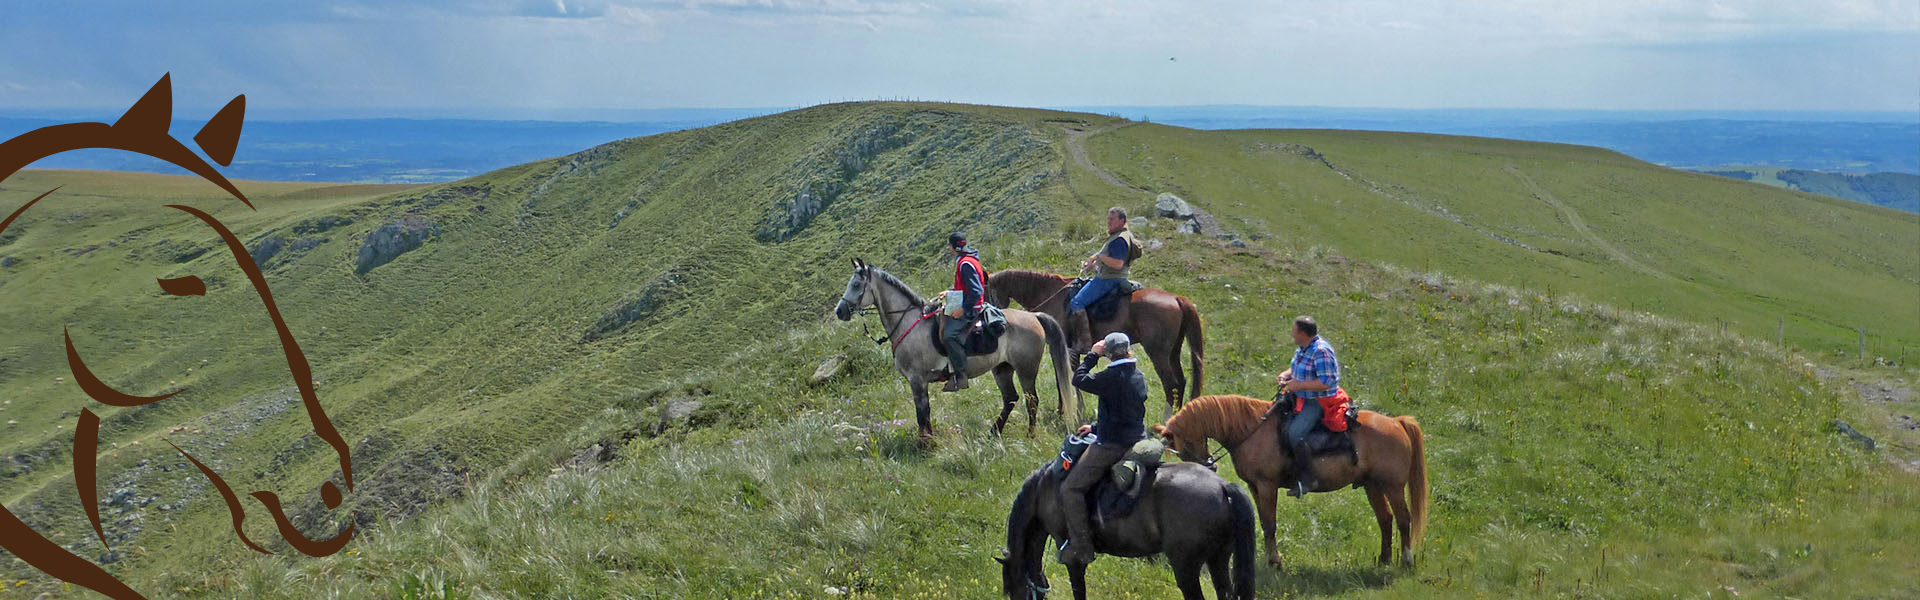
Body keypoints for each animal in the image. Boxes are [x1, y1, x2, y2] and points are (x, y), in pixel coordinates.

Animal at [837, 255, 1082, 438]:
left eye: (856, 285)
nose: (840, 311)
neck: (909, 323)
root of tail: (1034, 317)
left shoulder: (917, 381)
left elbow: (922, 414)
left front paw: (926, 444)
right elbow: (924, 414)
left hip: (1026, 370)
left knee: (1032, 401)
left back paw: (1029, 435)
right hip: (1002, 369)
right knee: (1010, 399)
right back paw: (993, 432)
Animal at [990, 269, 1198, 419]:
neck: (1048, 294)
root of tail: (1176, 298)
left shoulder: (1062, 347)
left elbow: (1064, 377)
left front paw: (1069, 411)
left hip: (1158, 354)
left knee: (1170, 384)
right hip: (1173, 352)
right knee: (1181, 382)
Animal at [1006, 461, 1259, 596]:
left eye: (1014, 591)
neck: (1045, 490)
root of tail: (1223, 486)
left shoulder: (1071, 555)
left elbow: (1079, 588)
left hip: (1186, 567)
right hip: (1219, 559)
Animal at [1152, 394, 1428, 565]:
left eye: (1182, 447)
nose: (1209, 464)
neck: (1252, 430)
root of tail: (1397, 423)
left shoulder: (1267, 486)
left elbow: (1270, 524)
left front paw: (1275, 561)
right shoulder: (1255, 487)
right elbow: (1264, 523)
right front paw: (1270, 558)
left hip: (1393, 486)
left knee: (1403, 518)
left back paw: (1406, 559)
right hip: (1372, 486)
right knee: (1386, 519)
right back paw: (1384, 559)